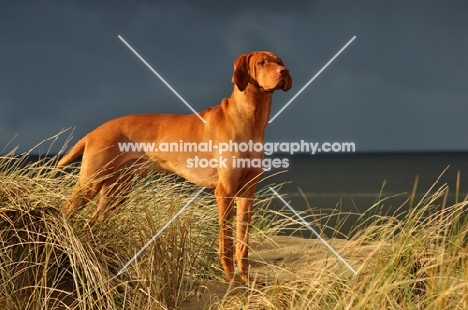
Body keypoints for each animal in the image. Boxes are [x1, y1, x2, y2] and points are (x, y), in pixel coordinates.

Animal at [57, 50, 292, 284]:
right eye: (262, 63)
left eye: (279, 62)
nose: (284, 71)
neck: (251, 118)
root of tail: (94, 132)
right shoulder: (225, 191)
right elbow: (226, 240)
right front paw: (230, 278)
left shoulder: (247, 192)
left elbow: (242, 242)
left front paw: (246, 279)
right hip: (90, 183)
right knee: (66, 212)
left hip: (117, 192)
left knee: (91, 223)